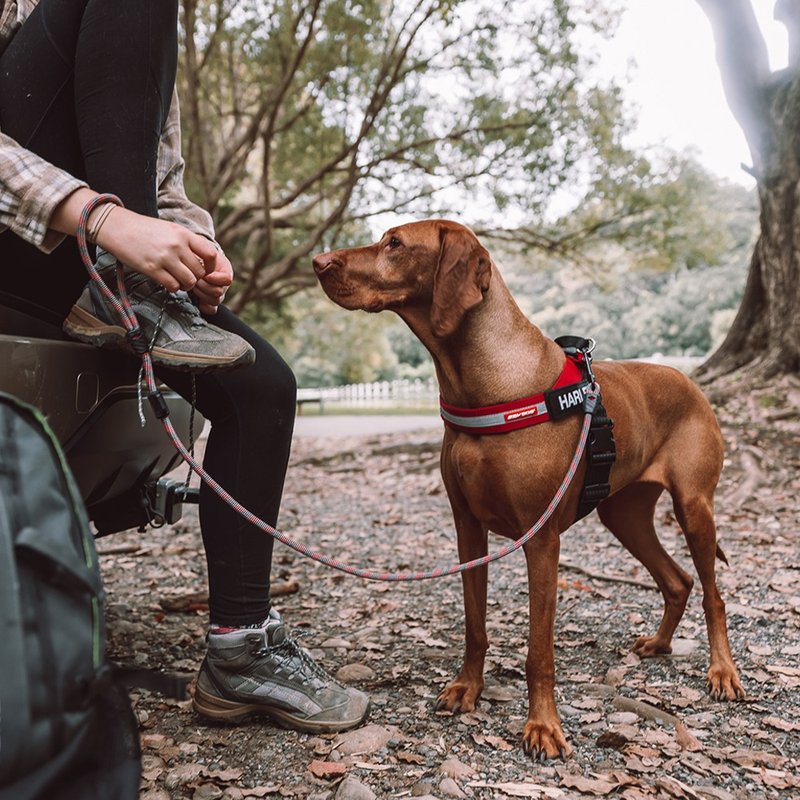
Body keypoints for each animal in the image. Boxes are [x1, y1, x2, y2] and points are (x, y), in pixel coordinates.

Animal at [310, 222, 744, 760]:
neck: (483, 382)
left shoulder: (542, 540)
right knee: (677, 580)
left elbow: (540, 650)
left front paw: (543, 727)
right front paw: (467, 688)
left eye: (395, 243)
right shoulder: (467, 529)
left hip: (693, 506)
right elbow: (475, 626)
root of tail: (689, 379)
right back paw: (660, 645)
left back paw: (722, 672)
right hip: (623, 515)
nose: (318, 262)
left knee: (712, 595)